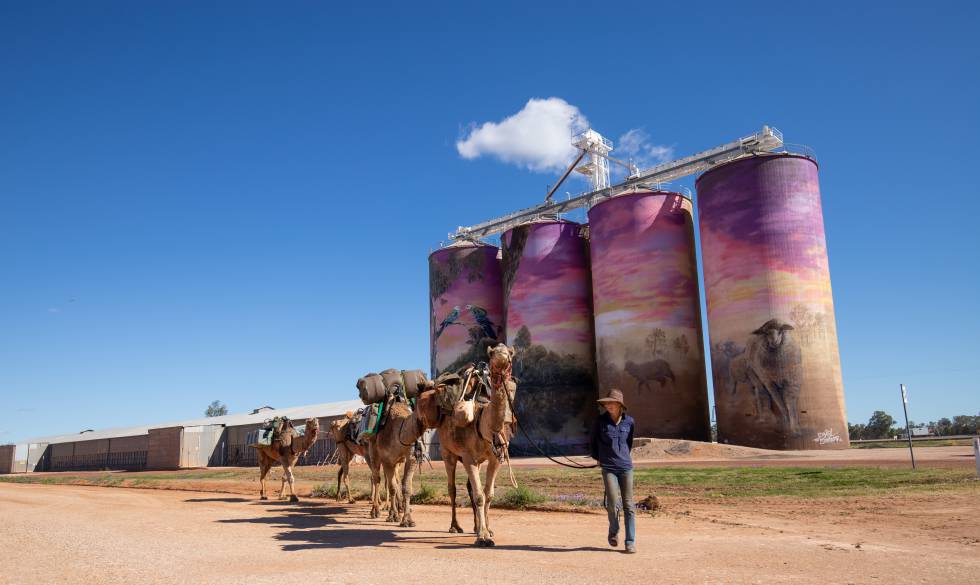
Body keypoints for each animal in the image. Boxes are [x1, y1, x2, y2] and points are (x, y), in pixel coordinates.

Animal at [434, 344, 512, 544]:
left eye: (510, 352)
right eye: (492, 353)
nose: (501, 355)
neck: (483, 422)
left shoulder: (495, 458)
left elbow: (488, 494)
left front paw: (487, 530)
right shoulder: (468, 457)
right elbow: (479, 496)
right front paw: (483, 537)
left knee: (470, 487)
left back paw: (476, 526)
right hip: (448, 453)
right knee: (452, 488)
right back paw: (455, 526)